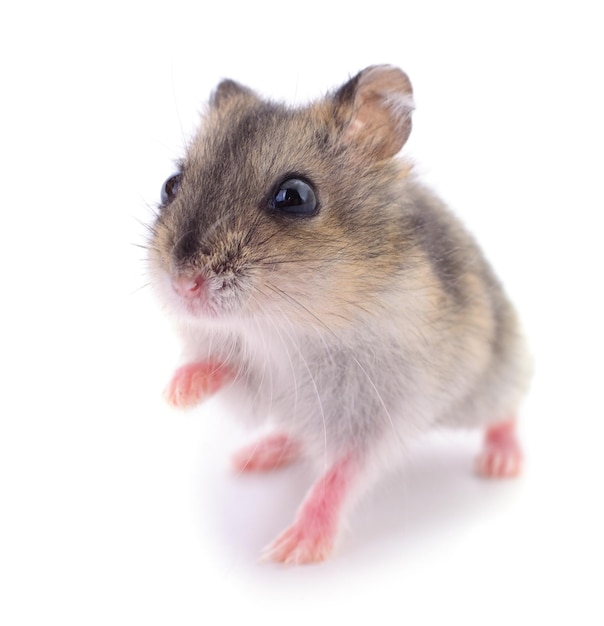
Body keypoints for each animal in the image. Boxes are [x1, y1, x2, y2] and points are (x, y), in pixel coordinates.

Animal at [147, 66, 532, 564]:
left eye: (295, 196)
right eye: (171, 184)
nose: (183, 285)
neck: (286, 326)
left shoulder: (378, 410)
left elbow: (342, 473)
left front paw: (293, 550)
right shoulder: (253, 371)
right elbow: (223, 367)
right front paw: (176, 393)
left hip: (492, 380)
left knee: (507, 410)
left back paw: (502, 462)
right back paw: (259, 453)